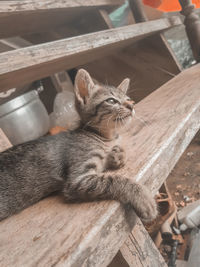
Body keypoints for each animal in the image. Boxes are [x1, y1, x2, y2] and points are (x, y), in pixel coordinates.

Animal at [0, 69, 157, 222]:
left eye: (128, 99)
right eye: (111, 100)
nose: (132, 105)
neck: (106, 137)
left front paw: (117, 154)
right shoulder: (78, 179)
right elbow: (114, 180)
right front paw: (142, 196)